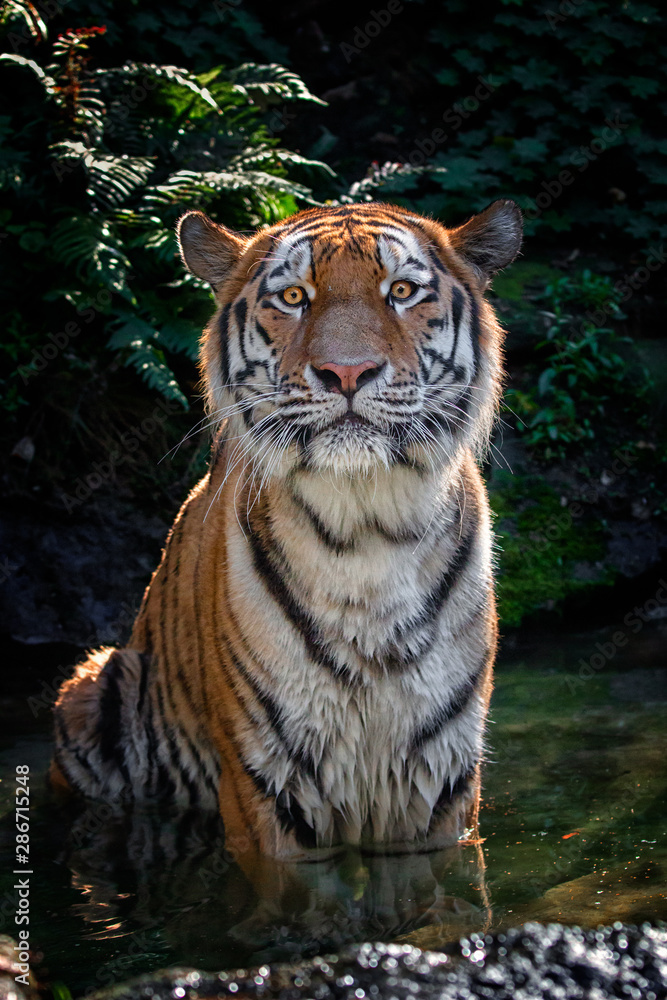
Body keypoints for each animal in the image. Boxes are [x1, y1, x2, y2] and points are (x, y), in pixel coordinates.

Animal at [52, 198, 522, 862]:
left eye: (402, 291)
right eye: (295, 296)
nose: (347, 372)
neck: (366, 528)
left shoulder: (438, 776)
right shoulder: (270, 784)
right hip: (89, 690)